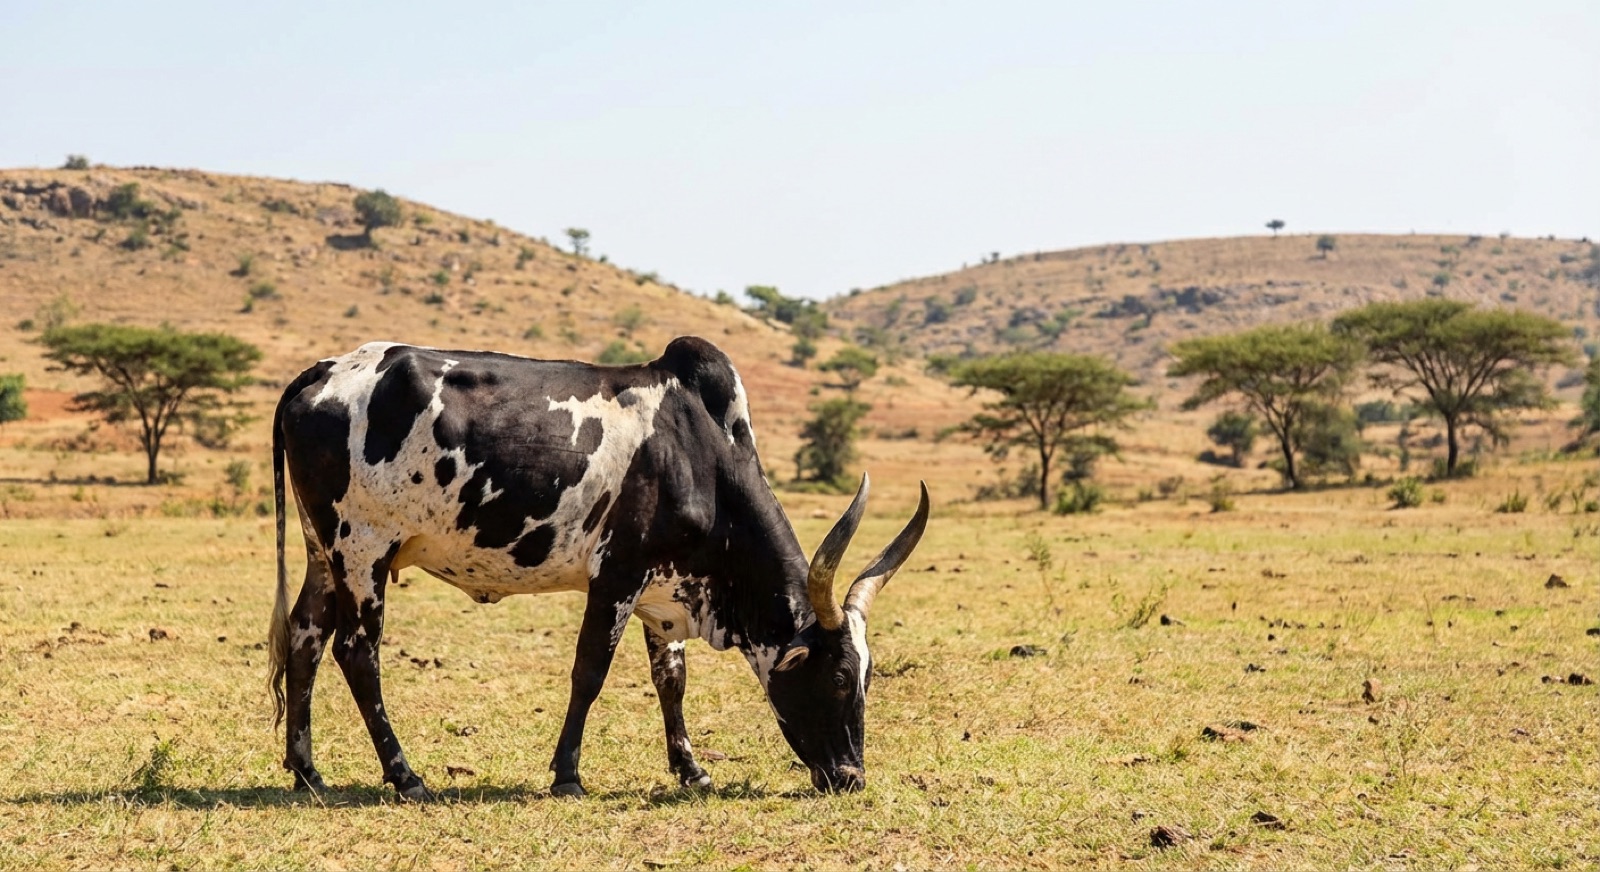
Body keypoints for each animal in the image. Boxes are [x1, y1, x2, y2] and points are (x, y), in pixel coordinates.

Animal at [267, 337, 928, 799]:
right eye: (838, 677)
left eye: (868, 679)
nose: (851, 777)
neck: (700, 455)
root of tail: (323, 372)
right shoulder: (617, 575)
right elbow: (590, 672)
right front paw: (567, 775)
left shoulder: (664, 591)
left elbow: (671, 680)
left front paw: (691, 770)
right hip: (363, 549)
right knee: (357, 652)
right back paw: (405, 776)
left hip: (322, 550)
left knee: (304, 636)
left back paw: (307, 772)